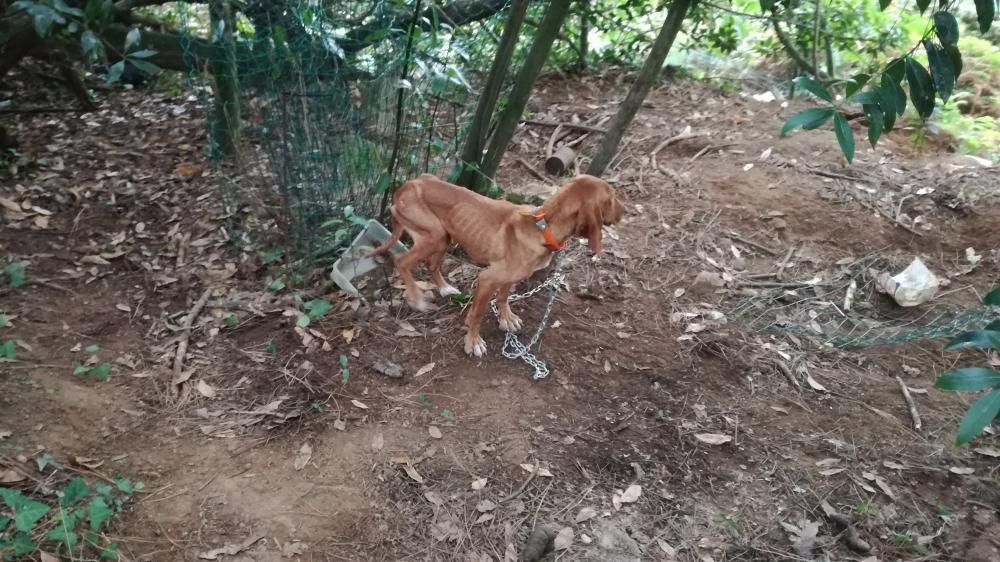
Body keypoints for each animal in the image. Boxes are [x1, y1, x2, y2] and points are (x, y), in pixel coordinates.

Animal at [372, 173, 620, 354]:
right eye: (611, 199)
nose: (624, 210)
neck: (543, 227)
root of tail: (406, 185)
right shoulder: (487, 279)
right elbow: (477, 314)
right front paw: (473, 341)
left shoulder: (508, 277)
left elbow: (503, 296)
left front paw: (506, 318)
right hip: (434, 235)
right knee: (401, 261)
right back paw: (417, 299)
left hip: (443, 237)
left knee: (431, 265)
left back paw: (444, 288)